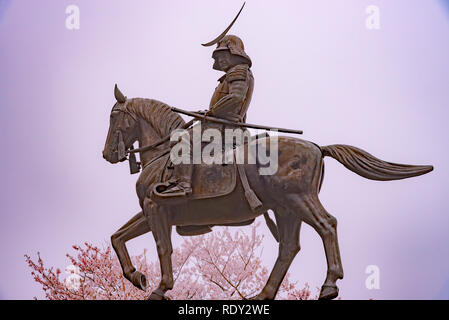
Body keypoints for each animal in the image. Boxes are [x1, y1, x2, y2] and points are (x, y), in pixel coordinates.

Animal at [101, 85, 430, 300]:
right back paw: (263, 294)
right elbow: (118, 237)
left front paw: (159, 288)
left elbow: (162, 247)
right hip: (286, 209)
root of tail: (317, 148)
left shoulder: (155, 208)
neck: (162, 153)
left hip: (298, 200)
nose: (107, 154)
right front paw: (137, 276)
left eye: (114, 116)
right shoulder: (151, 211)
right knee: (288, 247)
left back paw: (329, 285)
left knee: (327, 225)